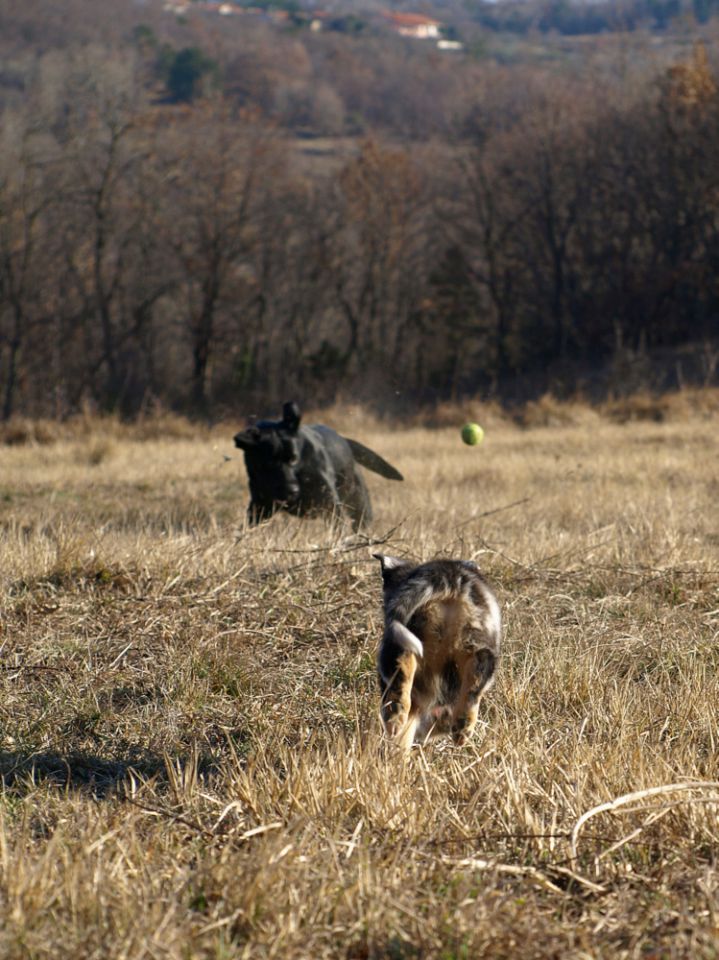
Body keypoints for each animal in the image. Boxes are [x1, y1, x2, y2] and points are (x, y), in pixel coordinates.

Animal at [236, 402, 404, 528]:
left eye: (294, 459)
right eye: (268, 463)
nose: (292, 490)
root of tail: (344, 440)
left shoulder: (330, 505)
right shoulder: (259, 506)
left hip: (358, 501)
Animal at [374, 556, 504, 752]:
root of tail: (449, 574)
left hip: (399, 641)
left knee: (403, 668)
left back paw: (395, 715)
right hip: (478, 645)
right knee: (474, 684)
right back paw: (462, 727)